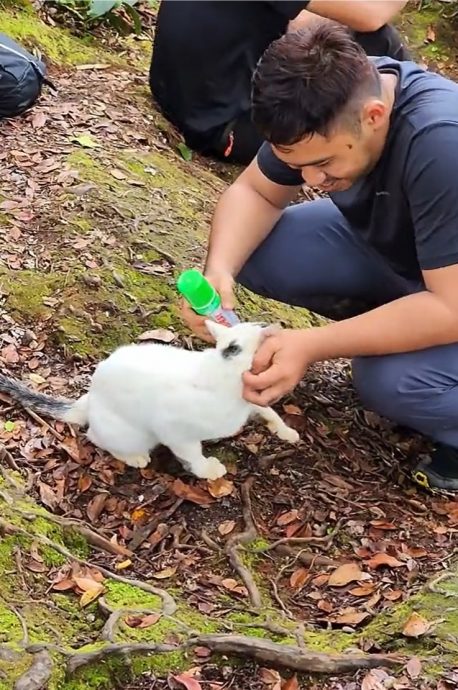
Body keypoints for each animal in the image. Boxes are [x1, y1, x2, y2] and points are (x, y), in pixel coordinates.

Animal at [0, 320, 300, 476]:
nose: (272, 326)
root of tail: (88, 398)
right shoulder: (175, 432)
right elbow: (193, 454)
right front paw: (207, 470)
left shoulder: (253, 400)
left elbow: (269, 411)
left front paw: (285, 431)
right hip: (132, 433)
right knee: (96, 437)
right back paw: (133, 457)